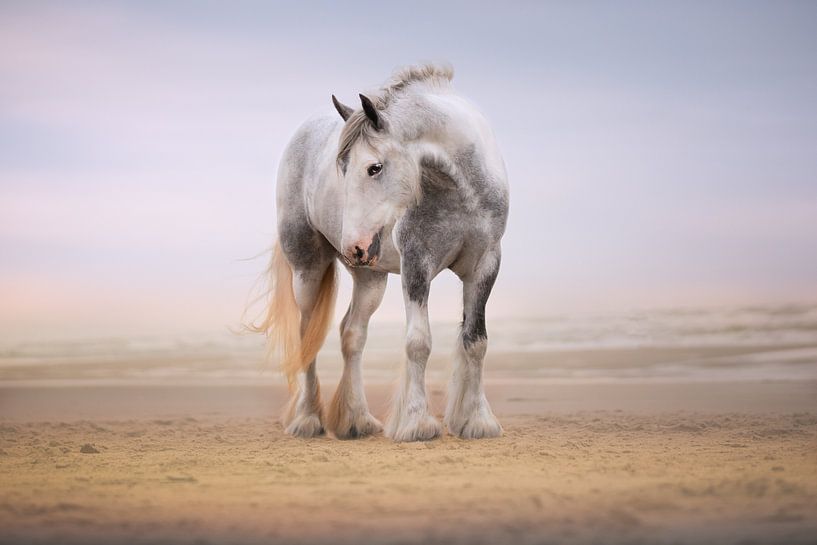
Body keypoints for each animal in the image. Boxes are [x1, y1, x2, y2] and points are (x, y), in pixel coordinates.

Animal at [253, 63, 509, 442]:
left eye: (374, 167)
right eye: (342, 168)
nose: (351, 246)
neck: (459, 190)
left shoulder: (485, 266)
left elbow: (475, 341)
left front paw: (476, 421)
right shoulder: (417, 265)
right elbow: (418, 342)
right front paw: (416, 423)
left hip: (370, 279)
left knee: (352, 335)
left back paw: (356, 419)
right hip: (307, 269)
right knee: (307, 336)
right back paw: (308, 419)